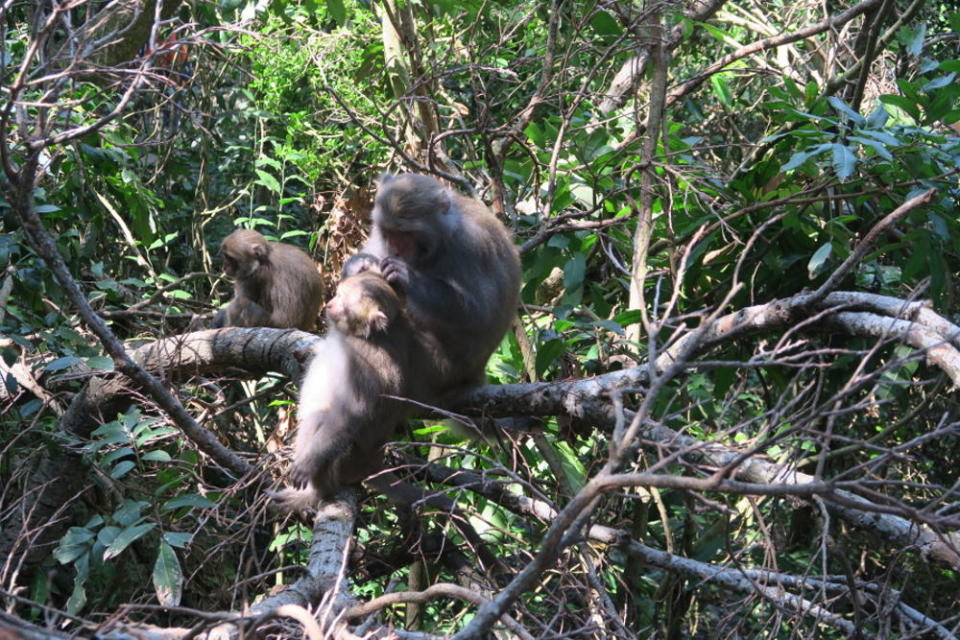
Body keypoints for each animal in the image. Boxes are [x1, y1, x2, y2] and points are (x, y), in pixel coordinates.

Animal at [270, 270, 420, 510]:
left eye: (343, 299)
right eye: (338, 295)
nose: (330, 303)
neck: (360, 336)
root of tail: (373, 465)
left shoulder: (361, 364)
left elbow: (352, 414)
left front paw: (307, 464)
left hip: (345, 464)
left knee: (321, 418)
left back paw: (316, 493)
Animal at [348, 172, 520, 398]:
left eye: (405, 233)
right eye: (388, 232)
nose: (395, 249)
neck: (443, 237)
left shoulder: (471, 244)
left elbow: (478, 313)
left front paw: (405, 275)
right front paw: (358, 264)